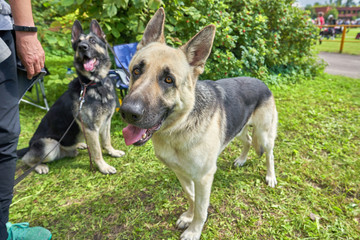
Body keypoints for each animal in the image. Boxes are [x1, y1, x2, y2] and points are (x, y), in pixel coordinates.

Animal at [18, 20, 125, 174]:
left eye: (92, 40)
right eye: (79, 43)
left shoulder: (106, 122)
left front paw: (112, 152)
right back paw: (39, 166)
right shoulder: (90, 128)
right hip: (49, 145)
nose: (82, 47)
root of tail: (29, 146)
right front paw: (103, 166)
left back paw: (78, 146)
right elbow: (97, 150)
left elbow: (106, 141)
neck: (95, 84)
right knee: (26, 159)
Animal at [119, 7, 278, 240]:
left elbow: (202, 208)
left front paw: (194, 230)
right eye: (136, 71)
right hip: (238, 128)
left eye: (168, 80)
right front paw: (188, 216)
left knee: (269, 154)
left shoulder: (203, 177)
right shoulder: (181, 173)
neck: (178, 128)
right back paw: (241, 160)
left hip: (265, 135)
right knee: (248, 140)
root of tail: (262, 82)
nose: (128, 112)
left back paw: (270, 176)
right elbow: (191, 196)